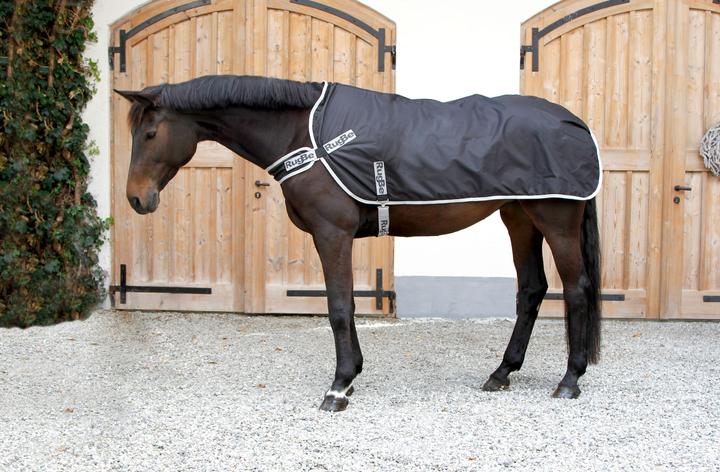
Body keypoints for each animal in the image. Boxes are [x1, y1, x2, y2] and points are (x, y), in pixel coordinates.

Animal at [115, 75, 602, 412]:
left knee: (576, 289)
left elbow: (337, 308)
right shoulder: (336, 237)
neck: (305, 136)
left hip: (555, 218)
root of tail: (574, 122)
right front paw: (352, 376)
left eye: (150, 134)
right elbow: (346, 303)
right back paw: (501, 373)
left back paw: (569, 380)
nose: (136, 198)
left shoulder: (332, 233)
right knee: (532, 290)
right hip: (519, 217)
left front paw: (338, 387)